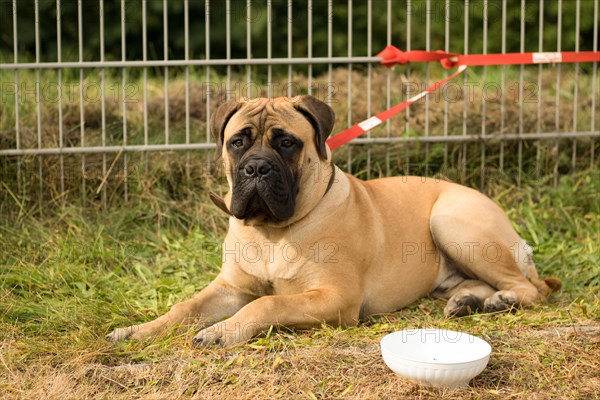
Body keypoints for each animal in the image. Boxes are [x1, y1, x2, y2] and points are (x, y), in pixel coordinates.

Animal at [105, 95, 560, 346]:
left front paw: (223, 331)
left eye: (287, 143)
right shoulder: (231, 287)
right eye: (237, 142)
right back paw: (470, 301)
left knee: (532, 289)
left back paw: (502, 300)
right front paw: (138, 331)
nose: (256, 168)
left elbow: (270, 302)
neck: (273, 233)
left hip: (452, 223)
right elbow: (185, 306)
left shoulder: (334, 298)